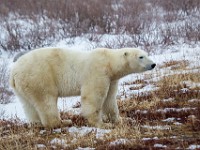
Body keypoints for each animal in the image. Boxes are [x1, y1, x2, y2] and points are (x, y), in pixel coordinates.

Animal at [9, 47, 156, 128]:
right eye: (141, 57)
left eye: (147, 54)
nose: (153, 64)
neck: (109, 62)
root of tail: (14, 72)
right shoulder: (97, 72)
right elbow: (93, 97)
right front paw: (102, 124)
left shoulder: (111, 79)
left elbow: (110, 100)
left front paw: (120, 120)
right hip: (39, 77)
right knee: (46, 100)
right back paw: (63, 122)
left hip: (23, 87)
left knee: (28, 105)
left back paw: (36, 123)